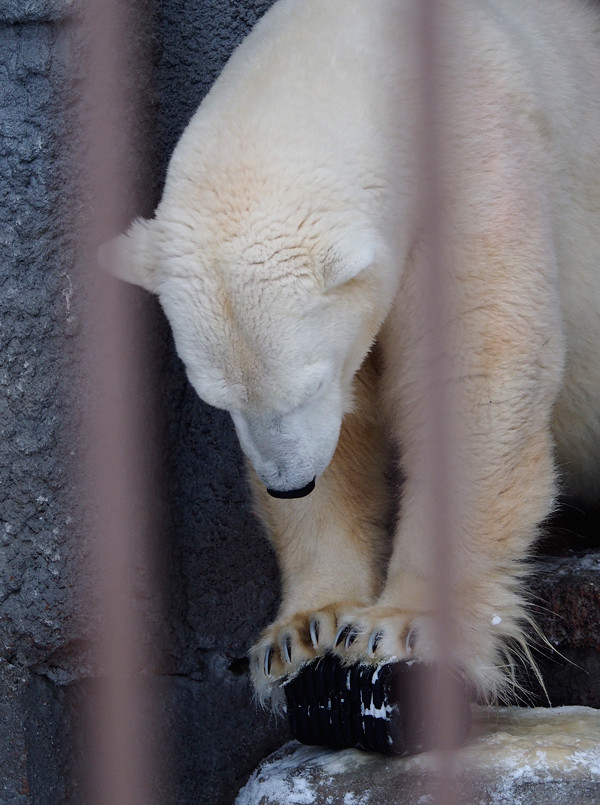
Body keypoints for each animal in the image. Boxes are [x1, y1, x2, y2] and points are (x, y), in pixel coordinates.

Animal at [105, 0, 600, 704]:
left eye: (308, 384)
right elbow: (351, 428)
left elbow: (473, 372)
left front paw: (399, 628)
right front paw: (305, 630)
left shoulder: (477, 149)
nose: (289, 483)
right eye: (217, 399)